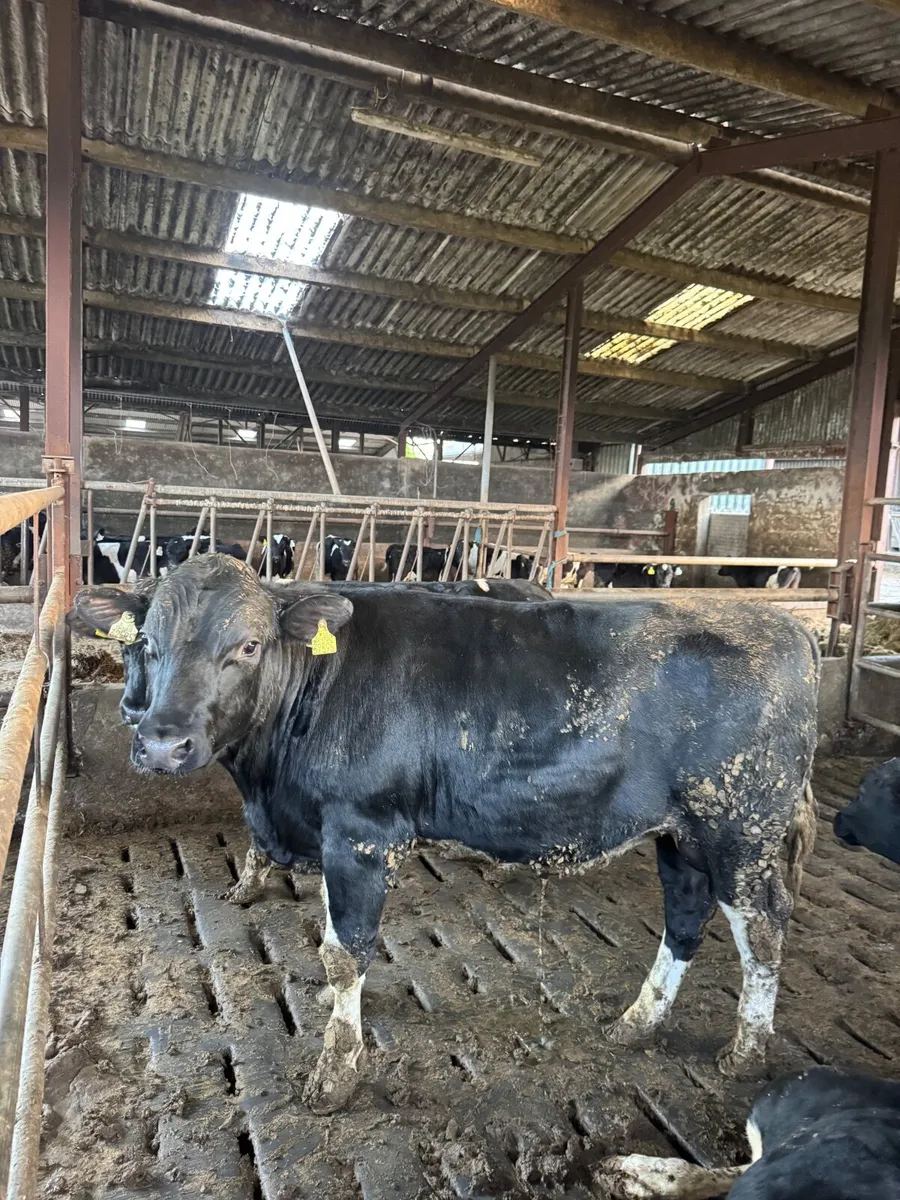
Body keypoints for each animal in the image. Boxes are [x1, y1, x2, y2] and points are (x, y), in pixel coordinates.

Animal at [71, 555, 819, 1114]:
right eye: (145, 643)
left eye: (247, 646)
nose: (160, 742)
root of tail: (788, 627)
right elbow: (337, 943)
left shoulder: (363, 832)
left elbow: (344, 951)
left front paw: (337, 1072)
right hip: (681, 834)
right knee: (686, 915)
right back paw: (639, 1023)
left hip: (742, 829)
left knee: (764, 928)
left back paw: (745, 1053)